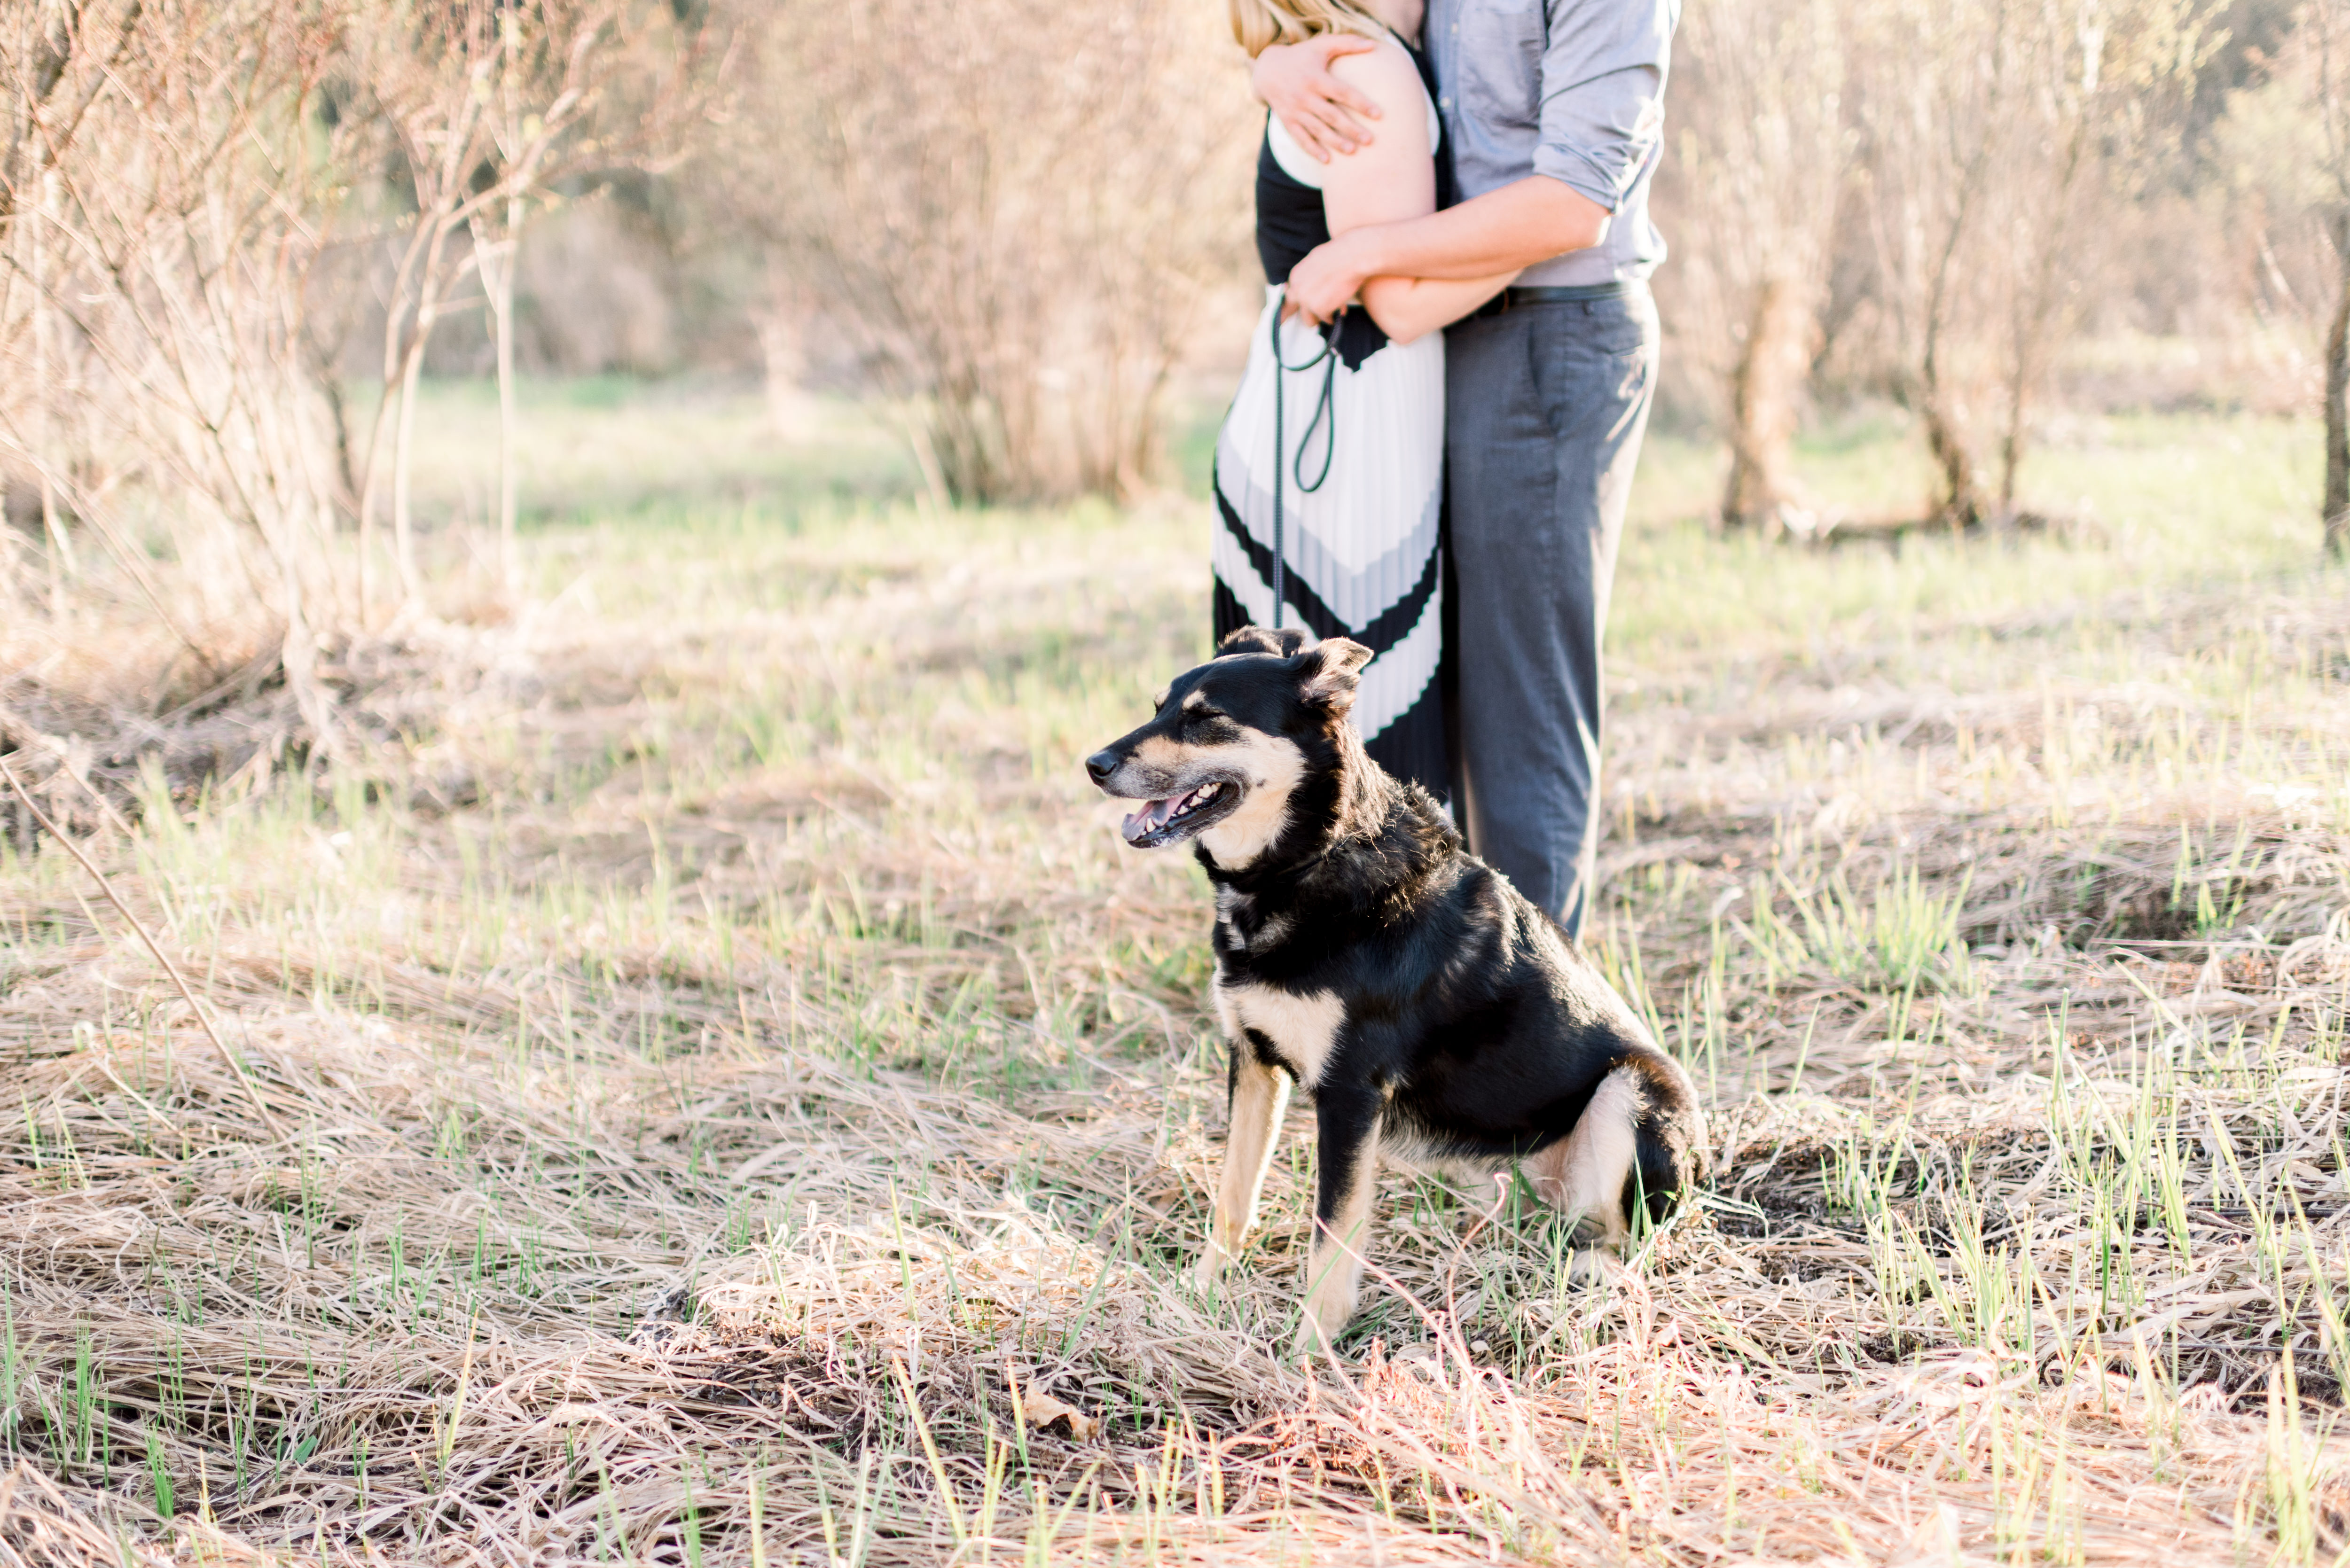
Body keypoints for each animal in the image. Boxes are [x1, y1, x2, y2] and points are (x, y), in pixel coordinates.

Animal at [1081, 625, 1711, 1354]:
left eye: (1206, 717)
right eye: (1158, 707)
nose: (1094, 764)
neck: (1308, 861)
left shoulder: (1351, 1093)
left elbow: (1331, 1238)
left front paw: (1309, 1352)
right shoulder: (1252, 1060)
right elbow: (1234, 1196)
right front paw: (1202, 1290)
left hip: (1630, 1092)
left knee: (1629, 1238)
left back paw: (1589, 1278)